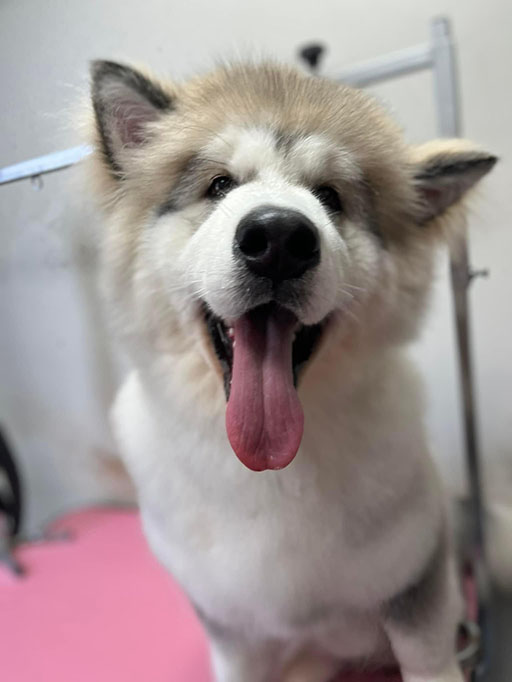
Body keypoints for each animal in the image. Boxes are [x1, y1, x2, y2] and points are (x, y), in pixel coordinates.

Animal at [87, 59, 496, 682]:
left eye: (330, 196)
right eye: (219, 186)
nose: (278, 237)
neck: (272, 470)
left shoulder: (417, 591)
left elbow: (430, 662)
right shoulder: (229, 626)